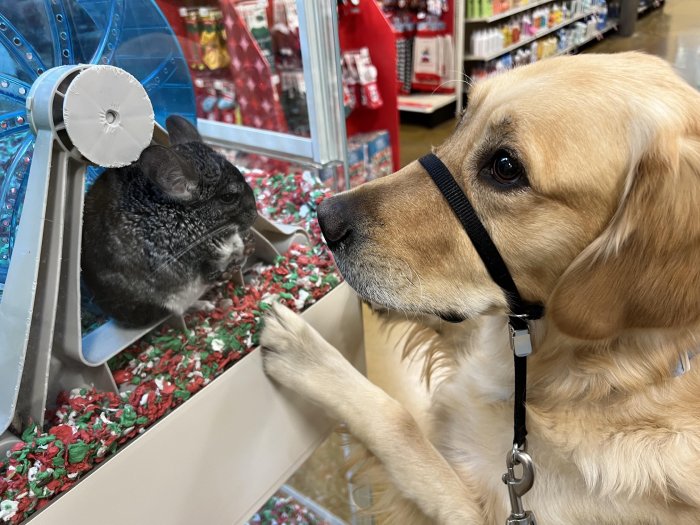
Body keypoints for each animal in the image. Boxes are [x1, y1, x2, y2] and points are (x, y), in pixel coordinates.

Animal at [260, 51, 700, 520]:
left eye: (506, 167)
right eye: (462, 120)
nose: (325, 218)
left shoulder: (486, 510)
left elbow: (401, 422)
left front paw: (309, 354)